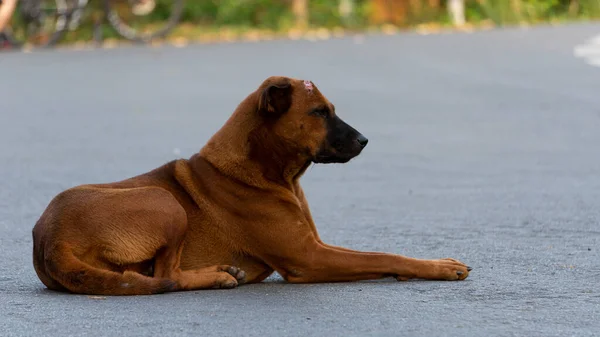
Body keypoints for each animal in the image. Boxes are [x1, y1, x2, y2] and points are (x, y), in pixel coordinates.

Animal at [32, 75, 472, 294]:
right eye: (319, 112)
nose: (365, 141)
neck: (271, 173)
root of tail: (50, 240)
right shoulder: (308, 258)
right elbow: (383, 255)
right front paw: (440, 268)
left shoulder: (316, 245)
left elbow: (381, 254)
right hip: (163, 200)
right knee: (166, 275)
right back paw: (216, 277)